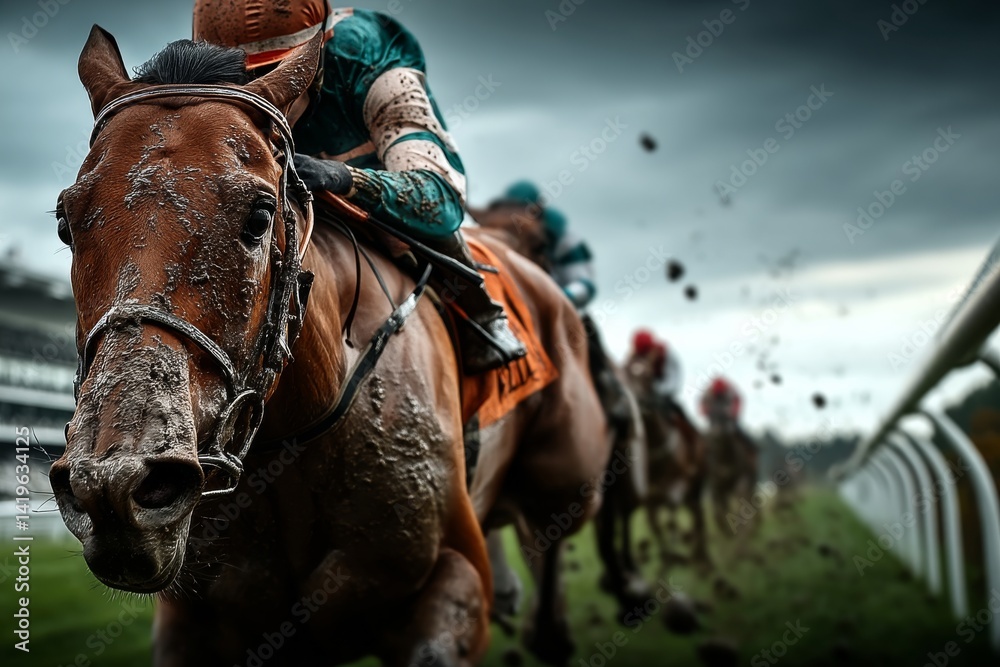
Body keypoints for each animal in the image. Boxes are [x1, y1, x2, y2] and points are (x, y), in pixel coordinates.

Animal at [51, 29, 607, 667]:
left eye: (260, 215)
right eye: (66, 221)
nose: (113, 485)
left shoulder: (450, 578)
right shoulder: (192, 616)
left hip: (569, 474)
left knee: (551, 528)